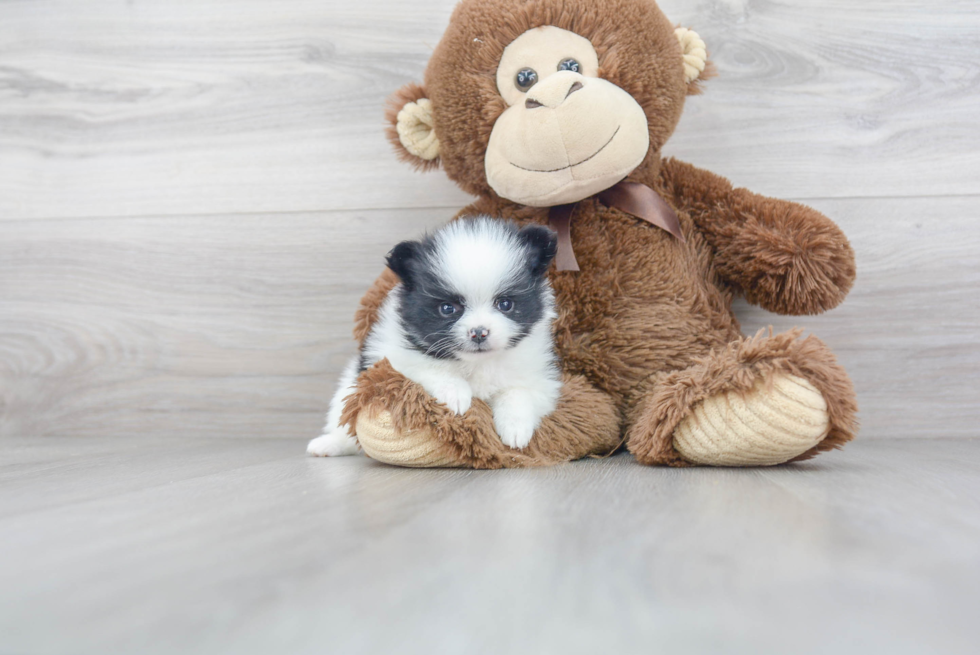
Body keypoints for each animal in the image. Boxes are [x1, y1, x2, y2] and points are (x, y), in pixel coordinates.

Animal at [310, 218, 564, 458]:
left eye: (505, 304)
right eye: (447, 309)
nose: (479, 332)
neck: (476, 363)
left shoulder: (540, 379)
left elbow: (519, 393)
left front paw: (515, 429)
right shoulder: (392, 360)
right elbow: (431, 368)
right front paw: (457, 395)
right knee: (345, 426)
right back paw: (328, 444)